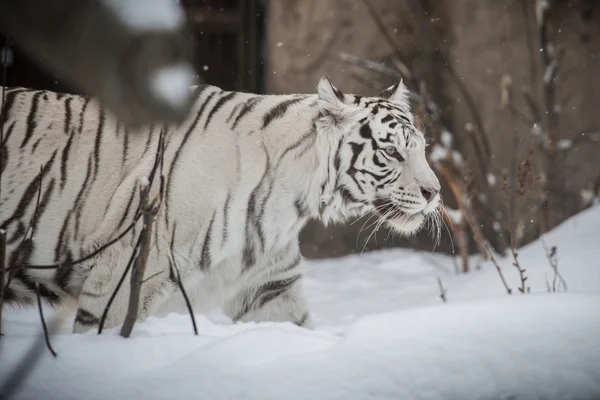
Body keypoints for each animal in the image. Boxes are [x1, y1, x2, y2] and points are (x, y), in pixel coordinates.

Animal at [0, 77, 440, 332]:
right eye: (391, 151)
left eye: (420, 148)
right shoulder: (123, 276)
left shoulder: (271, 287)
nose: (434, 193)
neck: (293, 202)